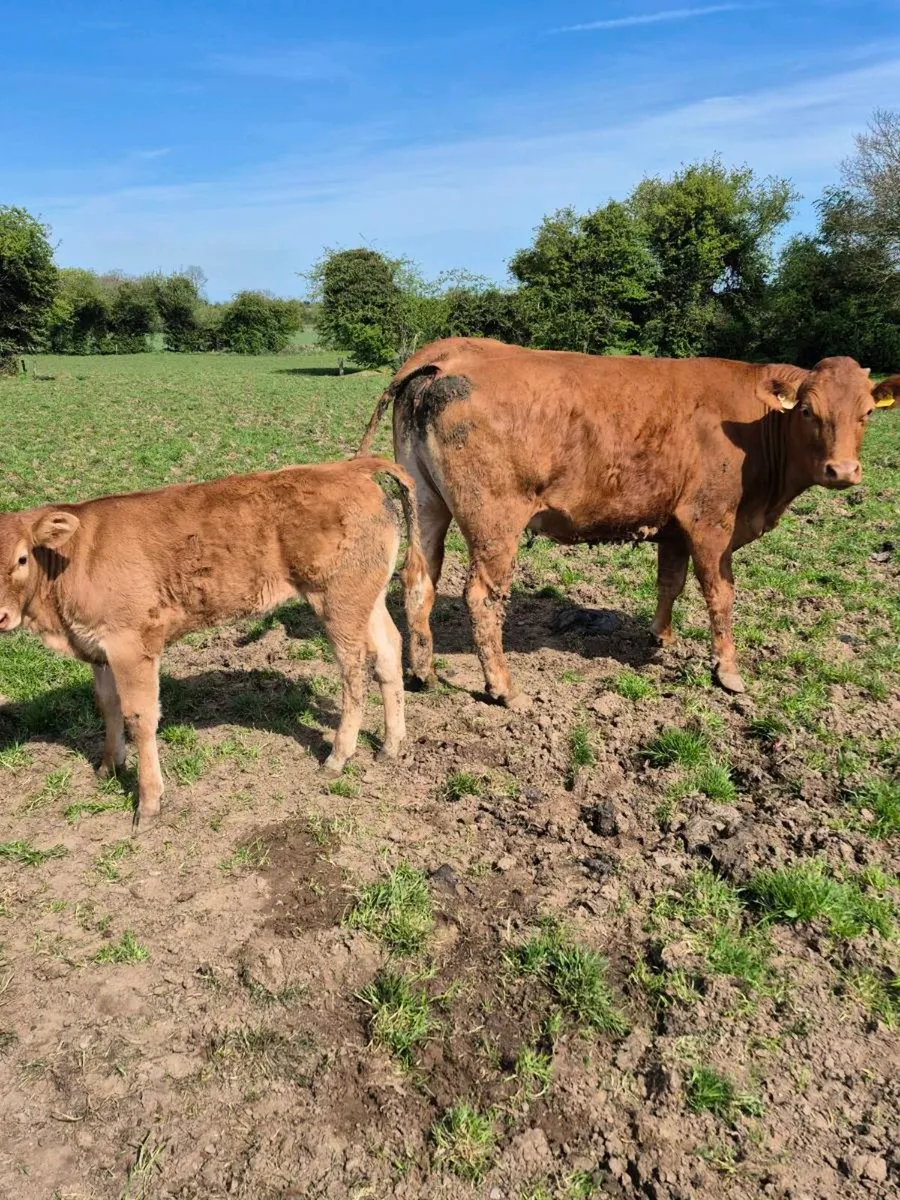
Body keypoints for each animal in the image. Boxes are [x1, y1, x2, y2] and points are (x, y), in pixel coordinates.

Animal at [0, 458, 426, 819]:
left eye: (21, 558)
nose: (0, 615)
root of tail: (349, 467)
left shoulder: (131, 646)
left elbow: (140, 718)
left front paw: (149, 802)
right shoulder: (98, 648)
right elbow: (108, 707)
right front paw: (108, 766)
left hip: (337, 602)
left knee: (354, 669)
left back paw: (339, 756)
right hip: (366, 598)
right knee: (389, 652)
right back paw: (391, 745)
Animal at [357, 338, 900, 708]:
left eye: (868, 413)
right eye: (808, 410)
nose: (843, 471)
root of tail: (450, 354)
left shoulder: (674, 526)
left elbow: (670, 582)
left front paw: (662, 638)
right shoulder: (711, 523)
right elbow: (719, 596)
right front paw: (728, 672)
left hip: (428, 503)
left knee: (419, 580)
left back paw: (423, 672)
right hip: (495, 520)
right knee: (482, 597)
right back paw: (504, 689)